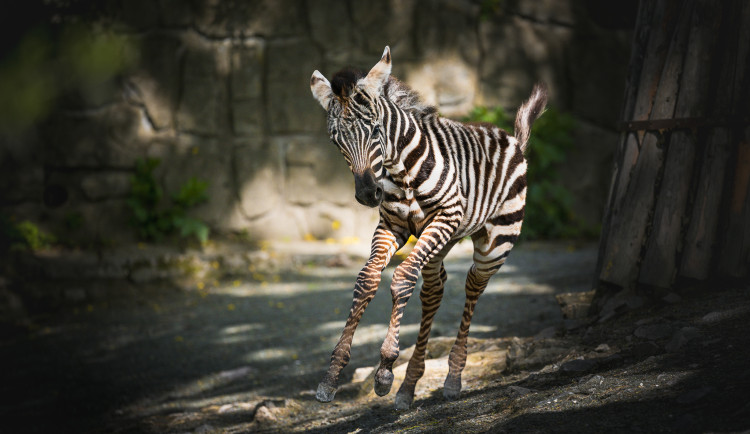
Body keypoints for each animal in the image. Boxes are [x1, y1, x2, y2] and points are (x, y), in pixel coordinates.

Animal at [308, 47, 548, 410]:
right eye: (337, 142)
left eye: (375, 131)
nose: (367, 194)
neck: (401, 171)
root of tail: (512, 139)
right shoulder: (391, 226)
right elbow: (367, 280)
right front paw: (332, 376)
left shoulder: (446, 217)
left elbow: (402, 278)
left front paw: (384, 370)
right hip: (438, 242)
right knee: (434, 290)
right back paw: (409, 385)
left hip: (493, 245)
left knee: (472, 287)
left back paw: (452, 378)